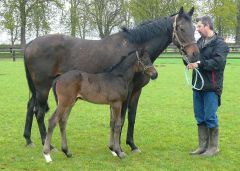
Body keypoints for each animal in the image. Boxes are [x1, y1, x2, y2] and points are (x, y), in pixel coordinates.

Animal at [23, 6, 200, 152]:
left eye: (195, 28)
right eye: (182, 28)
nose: (194, 54)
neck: (132, 48)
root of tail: (30, 44)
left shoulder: (136, 91)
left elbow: (131, 117)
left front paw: (132, 145)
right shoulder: (126, 93)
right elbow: (120, 119)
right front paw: (118, 147)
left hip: (37, 89)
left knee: (31, 107)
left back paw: (28, 139)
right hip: (43, 87)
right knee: (39, 112)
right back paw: (48, 145)